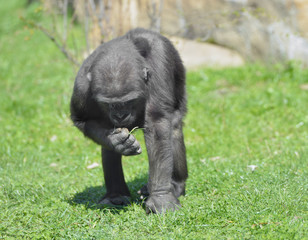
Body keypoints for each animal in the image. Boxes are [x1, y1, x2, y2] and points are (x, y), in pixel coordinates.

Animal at [70, 28, 188, 214]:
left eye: (128, 101)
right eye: (109, 104)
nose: (120, 116)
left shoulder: (159, 63)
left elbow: (157, 123)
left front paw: (160, 197)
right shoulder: (81, 86)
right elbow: (83, 120)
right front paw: (117, 141)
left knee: (174, 126)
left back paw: (175, 185)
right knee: (108, 147)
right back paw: (115, 195)